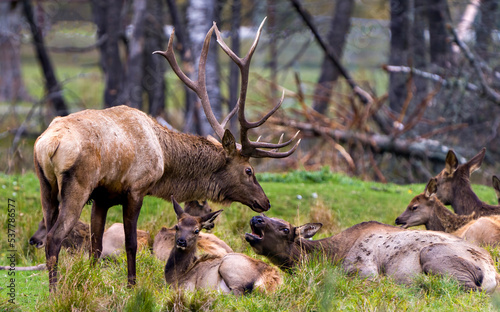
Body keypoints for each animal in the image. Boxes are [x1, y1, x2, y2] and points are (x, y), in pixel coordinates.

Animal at [35, 18, 298, 292]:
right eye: (249, 170)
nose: (265, 202)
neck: (164, 161)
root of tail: (49, 143)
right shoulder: (136, 189)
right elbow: (131, 243)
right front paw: (132, 285)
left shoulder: (103, 197)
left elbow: (95, 246)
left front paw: (93, 282)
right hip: (78, 185)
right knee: (54, 237)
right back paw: (54, 290)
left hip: (45, 185)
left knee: (48, 229)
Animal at [245, 214, 500, 292]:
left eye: (285, 228)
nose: (256, 218)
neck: (330, 256)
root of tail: (493, 274)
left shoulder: (364, 271)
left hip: (433, 255)